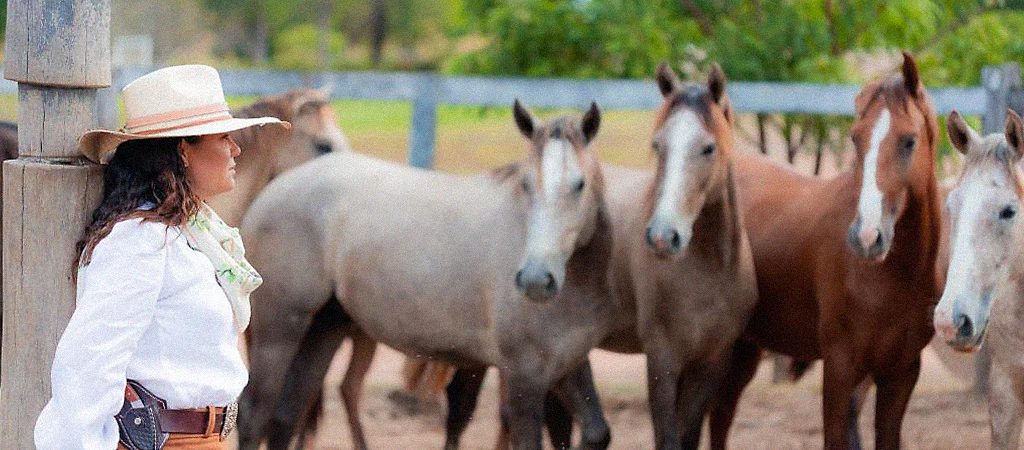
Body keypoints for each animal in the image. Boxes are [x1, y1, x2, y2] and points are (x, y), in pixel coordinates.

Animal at [234, 101, 610, 450]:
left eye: (580, 184)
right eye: (527, 184)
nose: (536, 280)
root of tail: (269, 194)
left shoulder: (566, 363)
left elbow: (595, 431)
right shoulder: (523, 374)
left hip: (325, 327)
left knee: (287, 413)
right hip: (280, 328)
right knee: (256, 415)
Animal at [444, 62, 757, 450]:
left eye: (709, 147)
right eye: (658, 145)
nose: (662, 237)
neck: (709, 270)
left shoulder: (712, 361)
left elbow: (687, 435)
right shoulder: (662, 358)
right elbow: (667, 436)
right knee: (463, 404)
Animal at [712, 53, 942, 450]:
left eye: (909, 141)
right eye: (855, 138)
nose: (866, 237)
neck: (895, 277)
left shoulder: (900, 373)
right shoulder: (840, 367)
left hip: (744, 349)